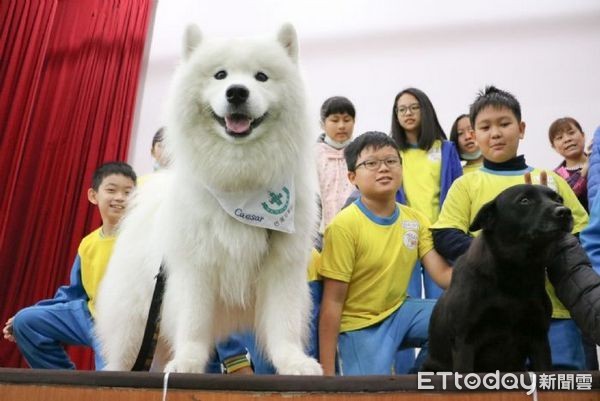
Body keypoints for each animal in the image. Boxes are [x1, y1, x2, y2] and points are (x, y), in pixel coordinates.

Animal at [97, 24, 324, 376]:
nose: (237, 92)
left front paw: (294, 362)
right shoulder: (196, 267)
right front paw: (187, 362)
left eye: (261, 77)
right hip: (135, 316)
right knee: (125, 352)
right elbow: (193, 322)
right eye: (220, 75)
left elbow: (282, 324)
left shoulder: (281, 266)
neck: (240, 179)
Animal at [420, 184, 576, 372]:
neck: (515, 272)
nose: (564, 212)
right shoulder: (464, 341)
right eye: (524, 200)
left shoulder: (538, 337)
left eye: (559, 199)